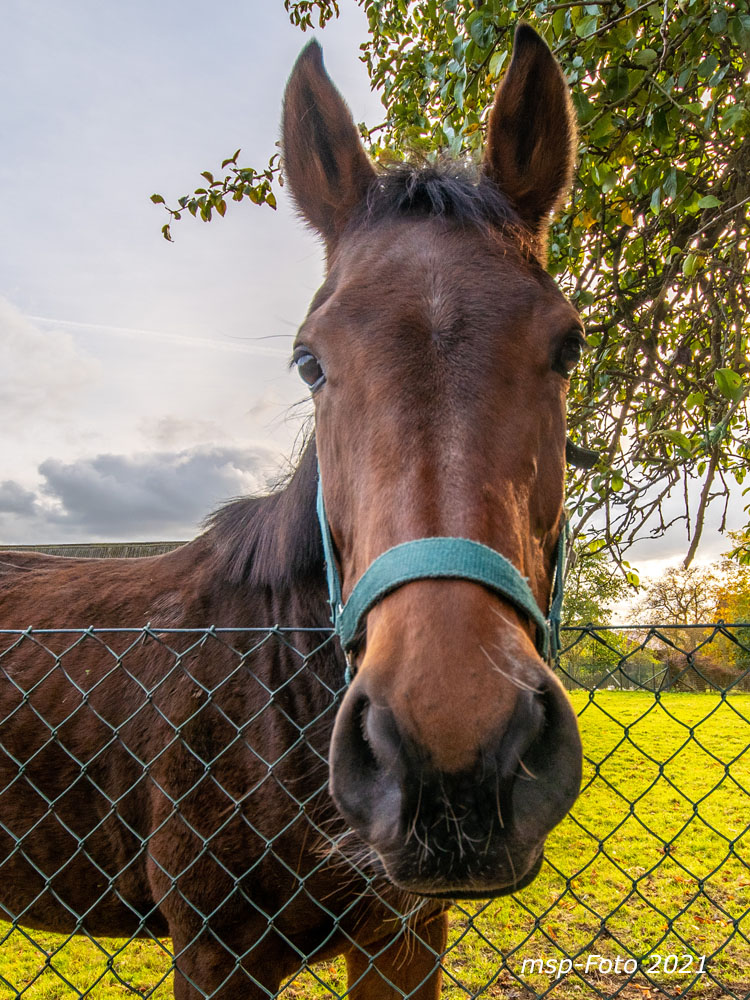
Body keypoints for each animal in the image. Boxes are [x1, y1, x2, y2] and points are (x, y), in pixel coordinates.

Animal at [0, 23, 584, 1000]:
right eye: (310, 362)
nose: (454, 755)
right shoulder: (215, 952)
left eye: (568, 346)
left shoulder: (404, 938)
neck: (269, 686)